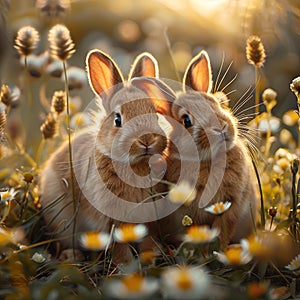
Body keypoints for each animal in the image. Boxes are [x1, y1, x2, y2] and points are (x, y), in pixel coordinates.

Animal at [38, 49, 172, 260]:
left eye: (155, 115)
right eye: (118, 119)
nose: (147, 140)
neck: (135, 165)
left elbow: (147, 236)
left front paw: (152, 253)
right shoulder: (110, 219)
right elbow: (119, 244)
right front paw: (124, 263)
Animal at [134, 51, 258, 248]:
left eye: (217, 104)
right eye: (186, 120)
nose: (222, 128)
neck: (209, 159)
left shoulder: (233, 205)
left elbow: (222, 230)